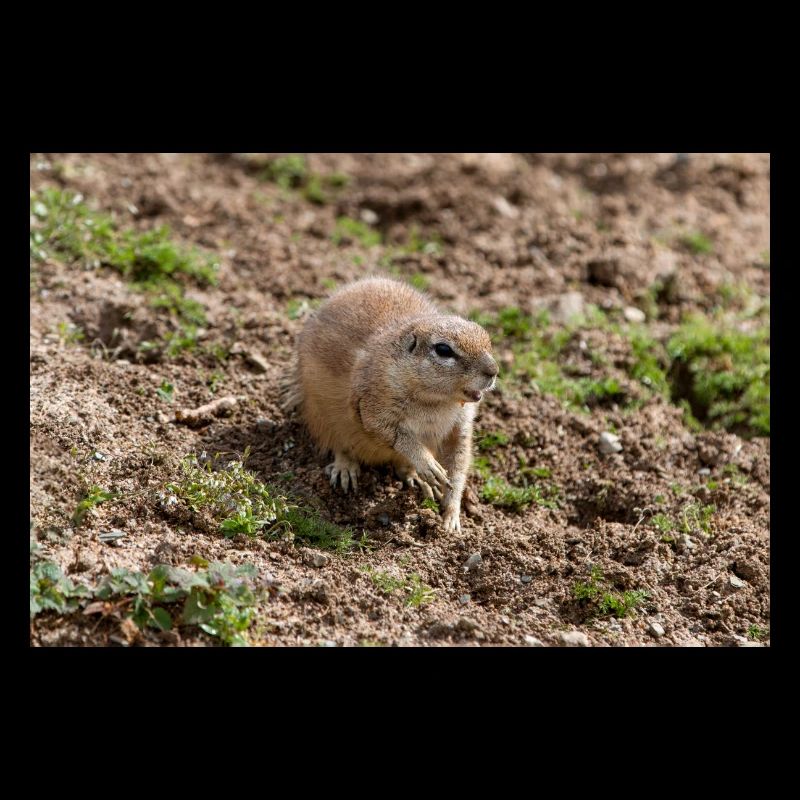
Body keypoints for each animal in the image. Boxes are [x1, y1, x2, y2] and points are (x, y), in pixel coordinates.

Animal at [284, 277, 498, 532]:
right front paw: (428, 465)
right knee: (339, 445)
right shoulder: (372, 406)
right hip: (321, 416)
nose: (494, 370)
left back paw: (417, 478)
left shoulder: (461, 426)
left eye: (486, 336)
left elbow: (458, 463)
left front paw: (451, 516)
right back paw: (346, 469)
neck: (437, 402)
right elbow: (395, 434)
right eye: (443, 349)